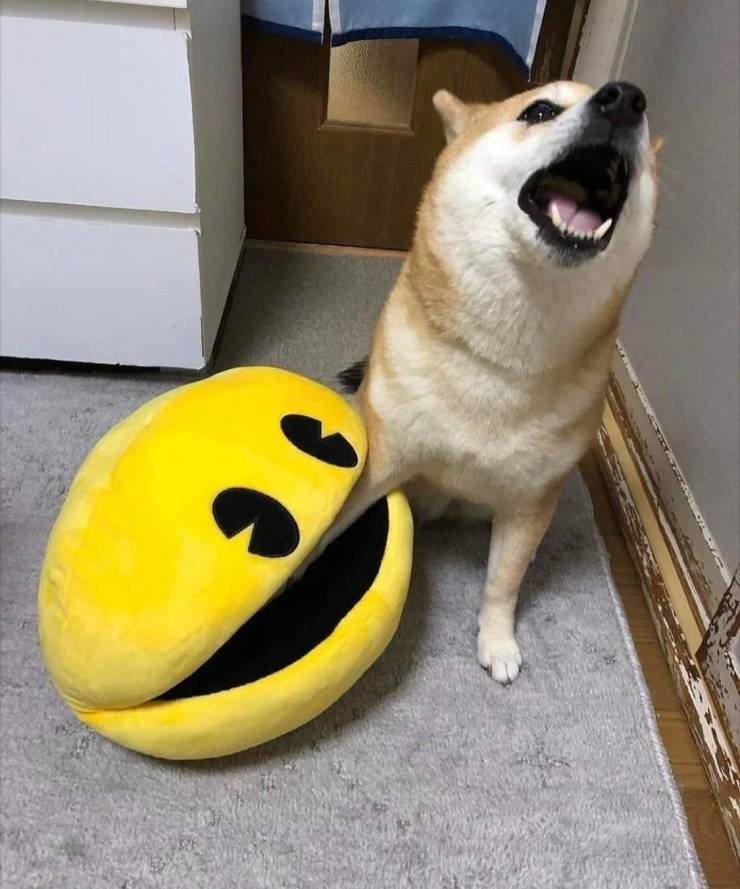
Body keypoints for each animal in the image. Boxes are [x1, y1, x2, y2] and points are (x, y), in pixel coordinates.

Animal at [333, 80, 659, 684]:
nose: (625, 98)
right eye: (540, 110)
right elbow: (332, 526)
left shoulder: (530, 502)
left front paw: (498, 640)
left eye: (647, 131)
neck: (499, 358)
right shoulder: (381, 460)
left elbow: (503, 582)